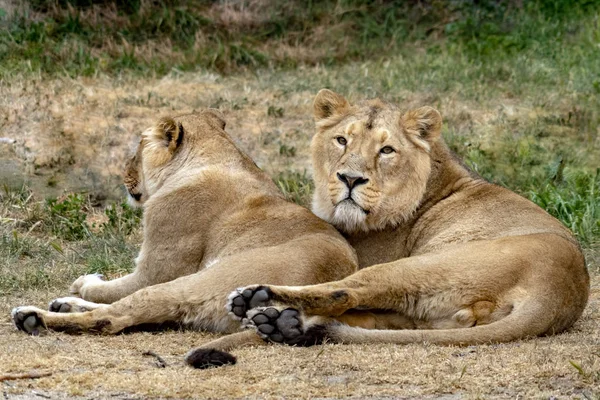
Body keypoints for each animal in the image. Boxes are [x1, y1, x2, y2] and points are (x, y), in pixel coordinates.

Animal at [11, 111, 358, 368]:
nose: (124, 175)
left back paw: (31, 317)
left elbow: (107, 289)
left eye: (137, 148)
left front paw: (85, 282)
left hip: (198, 282)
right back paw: (61, 306)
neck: (216, 155)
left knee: (115, 317)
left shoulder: (154, 271)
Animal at [226, 90, 592, 346]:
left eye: (386, 150)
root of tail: (559, 291)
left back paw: (259, 300)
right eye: (341, 140)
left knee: (345, 293)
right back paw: (281, 324)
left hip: (419, 265)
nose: (350, 179)